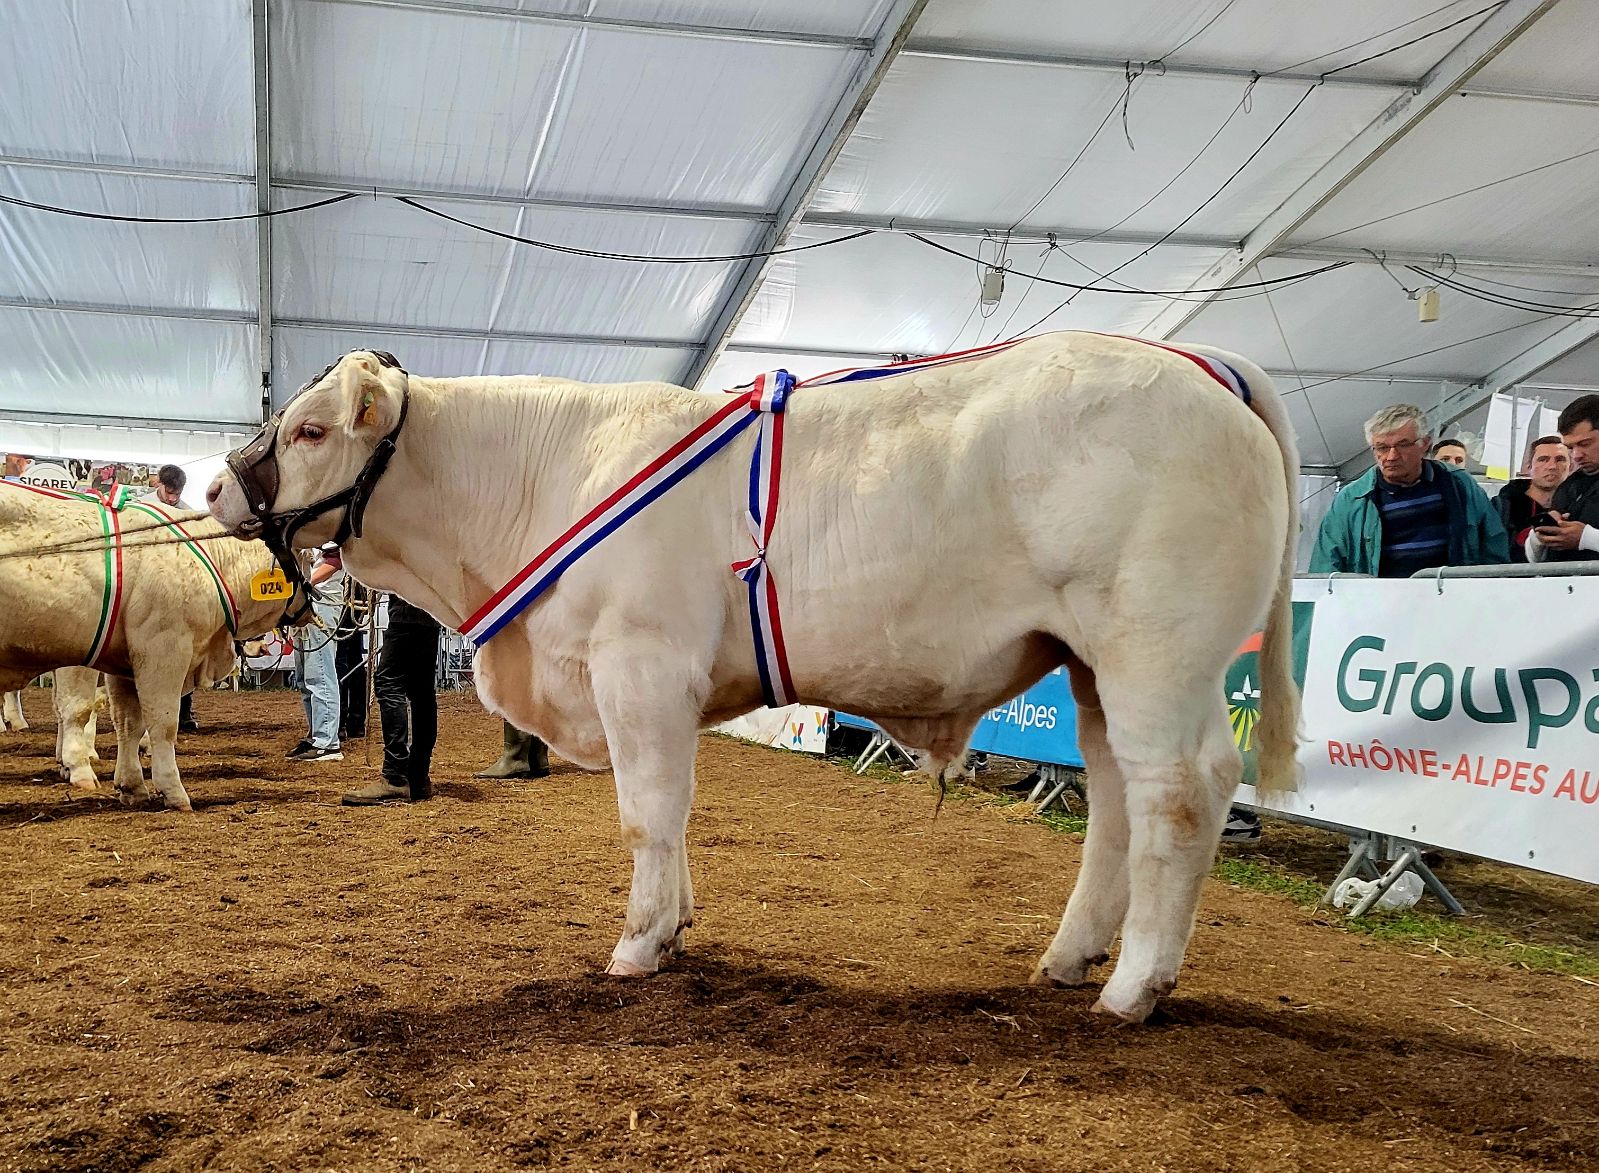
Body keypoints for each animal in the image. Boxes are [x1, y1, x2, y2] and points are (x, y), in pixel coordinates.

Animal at [0, 492, 294, 811]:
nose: (263, 646)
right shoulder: (147, 650)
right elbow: (87, 710)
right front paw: (80, 766)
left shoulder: (123, 664)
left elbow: (127, 720)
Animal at [209, 335, 1298, 1022]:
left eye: (309, 431)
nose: (217, 480)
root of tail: (1198, 365)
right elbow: (676, 815)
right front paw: (678, 925)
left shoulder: (640, 665)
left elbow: (647, 813)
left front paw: (639, 943)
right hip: (1092, 669)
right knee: (1114, 799)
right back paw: (1070, 960)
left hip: (1157, 649)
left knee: (1180, 794)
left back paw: (1135, 988)